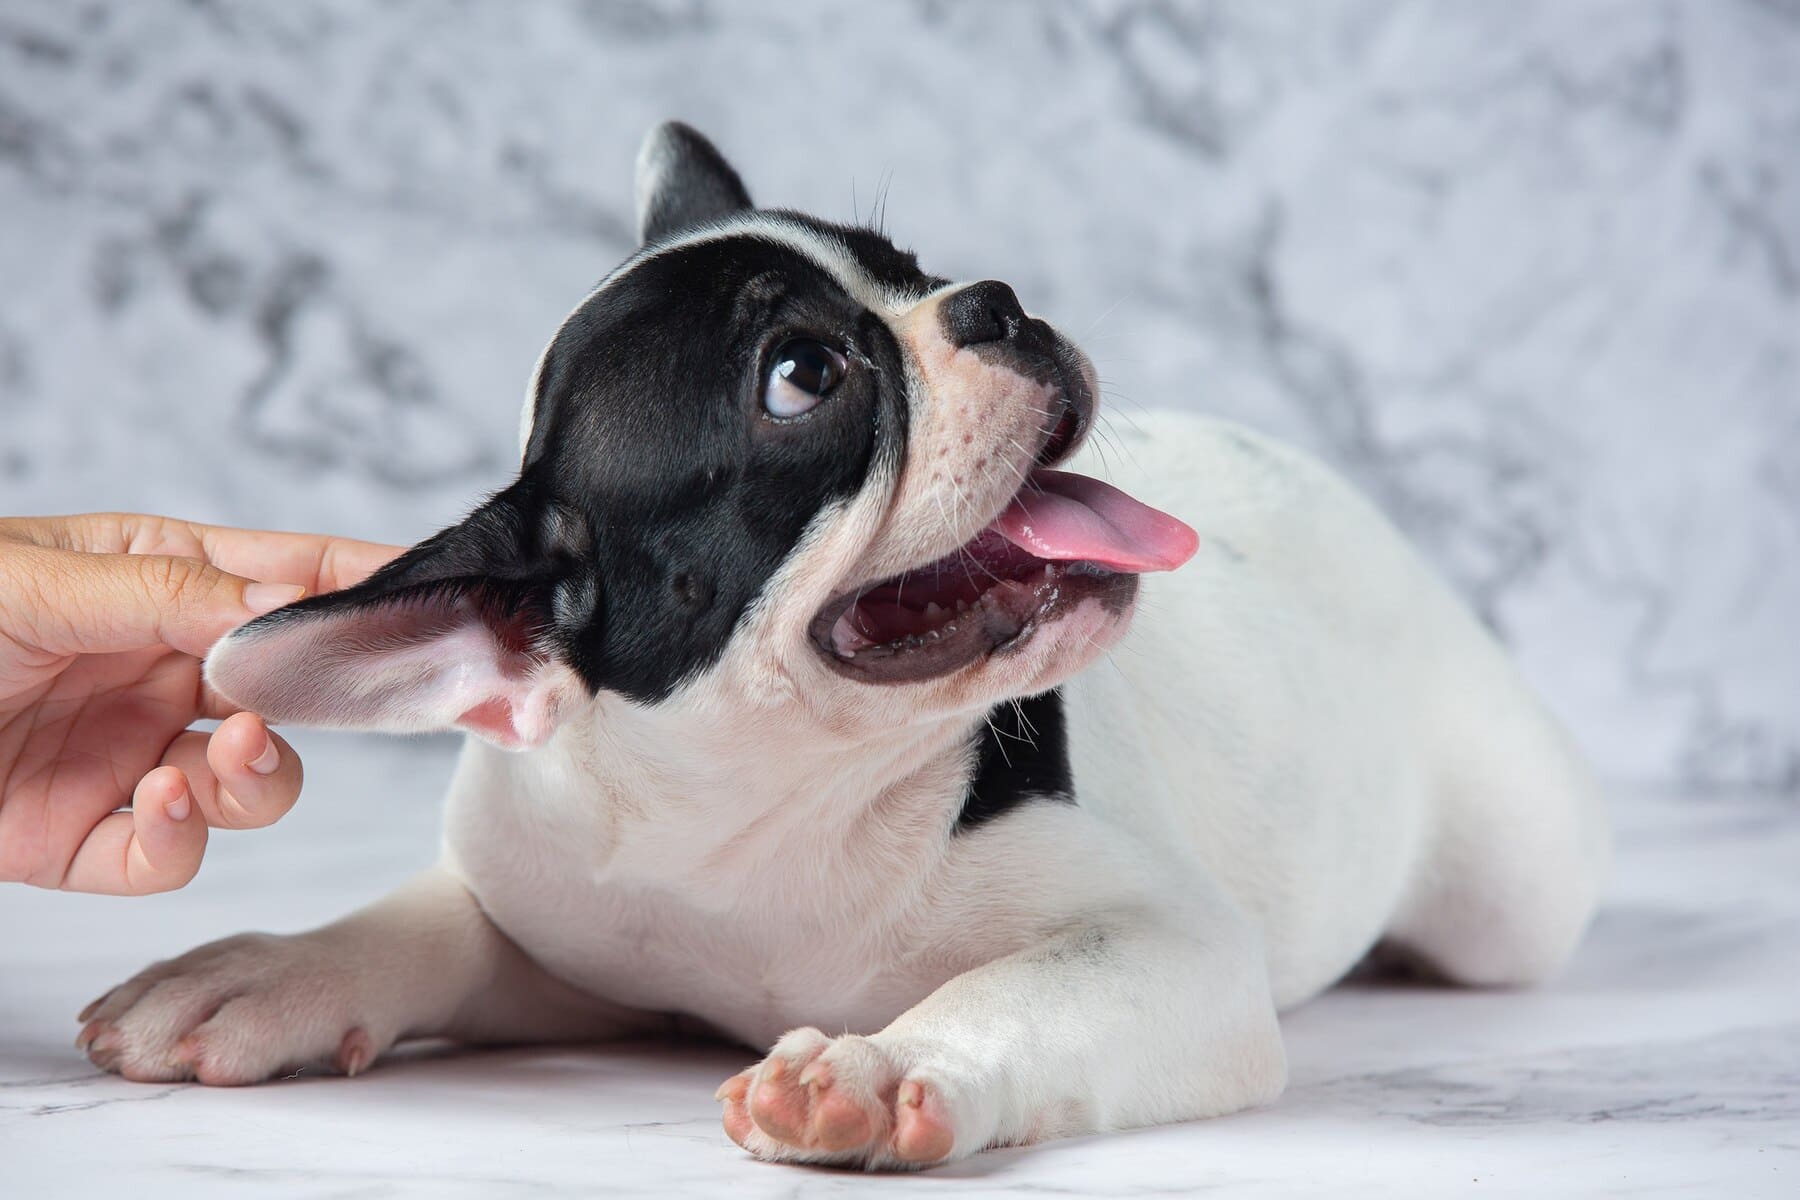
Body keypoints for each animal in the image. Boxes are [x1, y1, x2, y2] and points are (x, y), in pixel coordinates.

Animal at [77, 124, 1612, 1173]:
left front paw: (880, 1069)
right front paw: (266, 970)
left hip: (1504, 892)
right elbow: (432, 920)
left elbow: (1019, 993)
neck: (773, 811)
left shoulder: (1170, 950)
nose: (997, 297)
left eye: (916, 272)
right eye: (803, 379)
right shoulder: (556, 921)